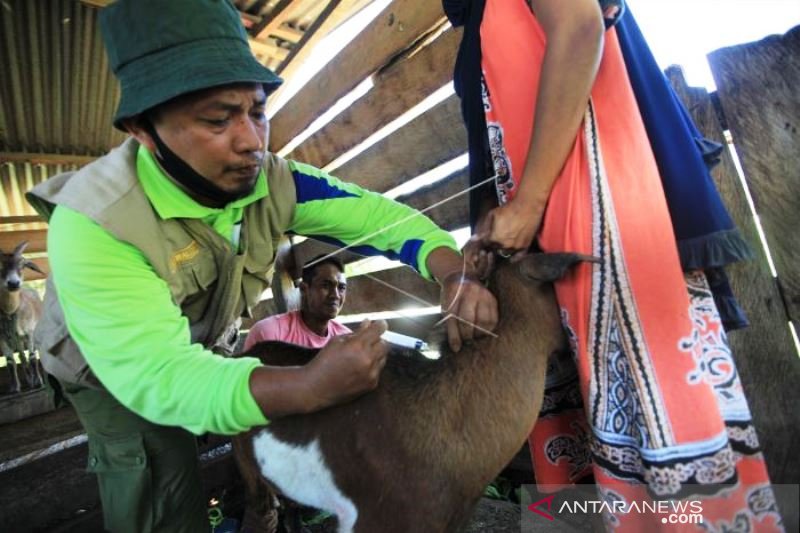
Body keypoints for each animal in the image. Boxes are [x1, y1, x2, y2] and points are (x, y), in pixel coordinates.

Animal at [0, 241, 44, 390]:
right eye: (0, 264)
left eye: (22, 265)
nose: (13, 283)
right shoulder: (3, 338)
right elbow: (10, 361)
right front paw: (14, 388)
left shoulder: (29, 332)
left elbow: (32, 357)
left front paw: (38, 382)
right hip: (16, 340)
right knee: (21, 357)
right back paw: (29, 380)